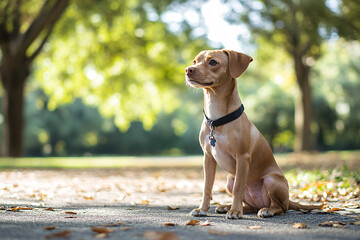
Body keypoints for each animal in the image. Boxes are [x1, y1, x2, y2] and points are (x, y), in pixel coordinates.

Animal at [186, 49, 320, 218]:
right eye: (195, 61)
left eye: (213, 62)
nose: (188, 70)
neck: (217, 119)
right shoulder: (208, 158)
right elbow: (207, 187)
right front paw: (202, 209)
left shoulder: (242, 157)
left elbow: (238, 187)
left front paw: (235, 212)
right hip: (229, 181)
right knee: (250, 205)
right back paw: (228, 206)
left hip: (271, 180)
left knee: (280, 208)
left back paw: (265, 210)